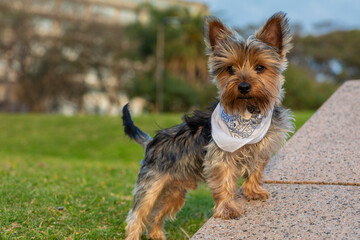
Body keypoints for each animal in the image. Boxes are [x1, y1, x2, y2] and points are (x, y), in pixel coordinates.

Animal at [122, 12, 294, 239]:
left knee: (156, 217)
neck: (247, 113)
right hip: (152, 183)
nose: (244, 86)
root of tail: (151, 143)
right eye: (230, 69)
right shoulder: (220, 157)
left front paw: (253, 191)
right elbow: (224, 182)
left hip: (175, 191)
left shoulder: (261, 148)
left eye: (260, 68)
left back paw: (158, 235)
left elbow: (255, 170)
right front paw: (228, 208)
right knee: (138, 216)